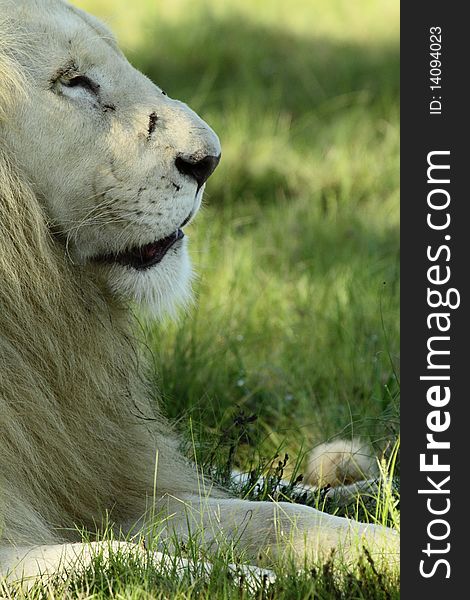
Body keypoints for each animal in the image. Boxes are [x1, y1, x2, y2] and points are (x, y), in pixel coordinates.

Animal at [0, 0, 396, 584]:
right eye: (73, 81)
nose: (208, 161)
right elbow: (132, 563)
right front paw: (272, 583)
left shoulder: (111, 477)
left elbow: (278, 517)